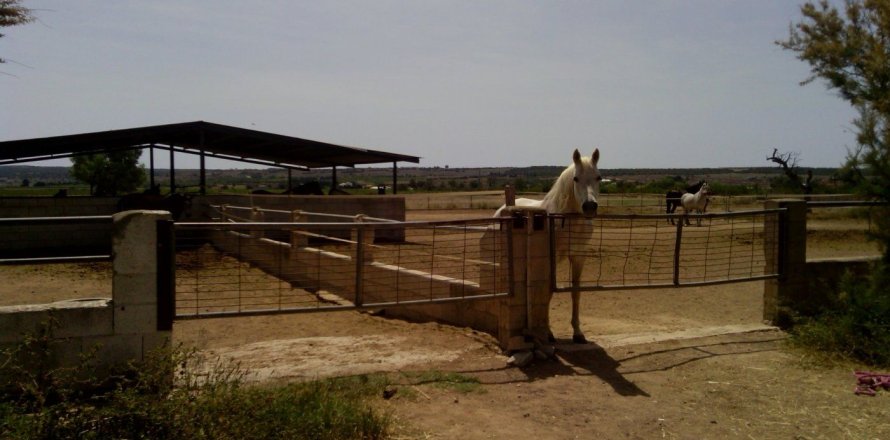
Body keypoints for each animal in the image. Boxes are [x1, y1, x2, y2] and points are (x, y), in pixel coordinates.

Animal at [492, 148, 604, 344]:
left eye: (598, 177)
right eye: (576, 178)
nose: (589, 207)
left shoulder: (578, 256)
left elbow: (576, 292)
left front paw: (578, 333)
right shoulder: (551, 257)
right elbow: (548, 292)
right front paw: (549, 333)